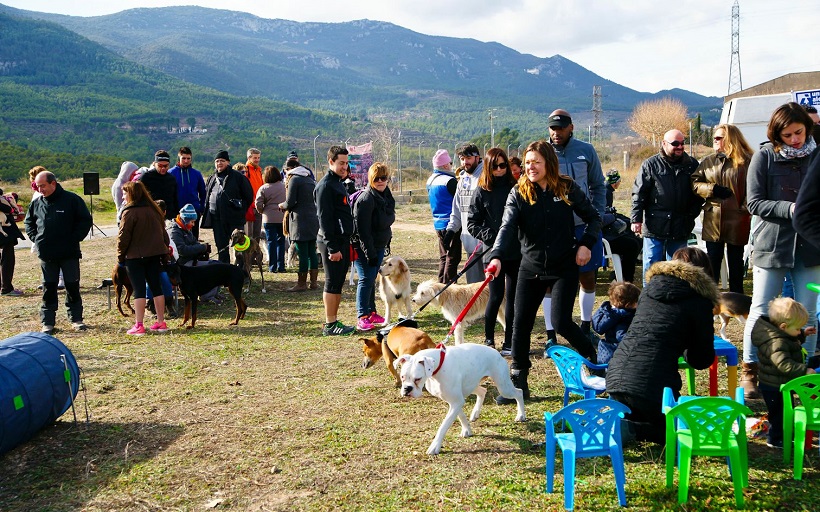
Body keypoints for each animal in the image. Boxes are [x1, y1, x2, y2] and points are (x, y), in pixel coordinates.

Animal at [392, 342, 524, 454]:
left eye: (417, 379)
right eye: (402, 376)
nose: (407, 389)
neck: (439, 365)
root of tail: (496, 353)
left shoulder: (456, 401)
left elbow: (444, 426)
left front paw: (435, 446)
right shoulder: (454, 401)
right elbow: (461, 416)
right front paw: (467, 430)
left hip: (504, 388)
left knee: (519, 392)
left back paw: (521, 415)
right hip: (471, 385)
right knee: (482, 391)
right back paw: (475, 413)